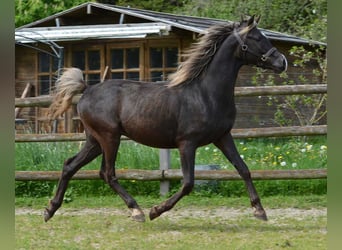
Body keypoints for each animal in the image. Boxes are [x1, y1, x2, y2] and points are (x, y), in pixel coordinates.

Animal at [44, 15, 288, 223]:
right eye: (256, 38)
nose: (282, 62)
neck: (205, 93)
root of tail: (86, 91)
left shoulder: (223, 137)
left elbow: (243, 168)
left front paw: (259, 210)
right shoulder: (187, 143)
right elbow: (188, 183)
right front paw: (156, 211)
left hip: (95, 141)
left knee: (70, 166)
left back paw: (50, 210)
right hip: (109, 138)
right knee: (107, 173)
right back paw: (137, 211)